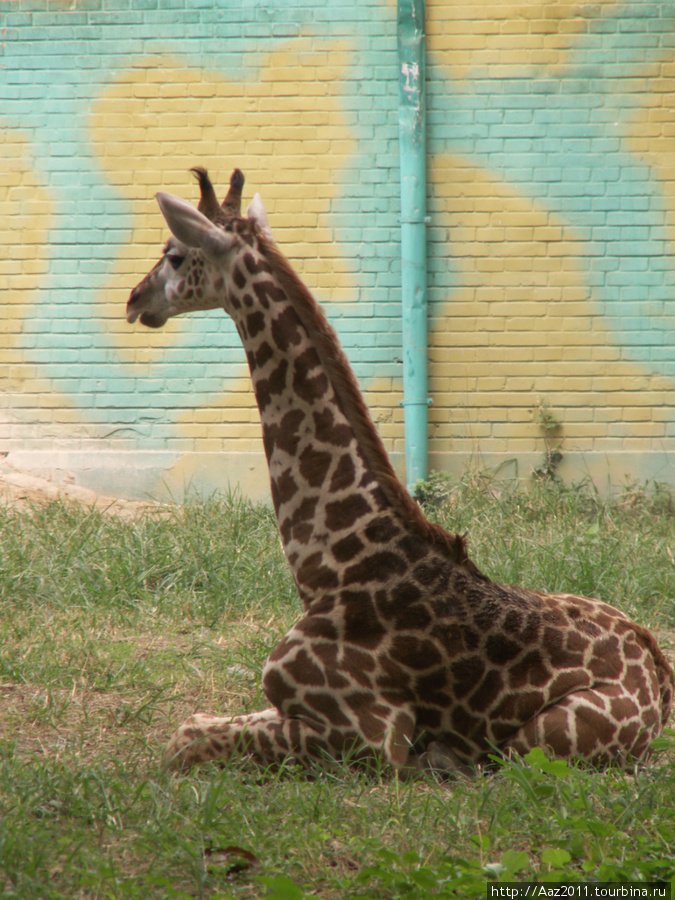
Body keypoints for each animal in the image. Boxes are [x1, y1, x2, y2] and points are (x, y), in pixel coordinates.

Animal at [125, 169, 672, 772]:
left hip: (535, 743)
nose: (134, 300)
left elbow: (185, 742)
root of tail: (658, 675)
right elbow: (194, 725)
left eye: (174, 255)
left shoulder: (372, 734)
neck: (329, 568)